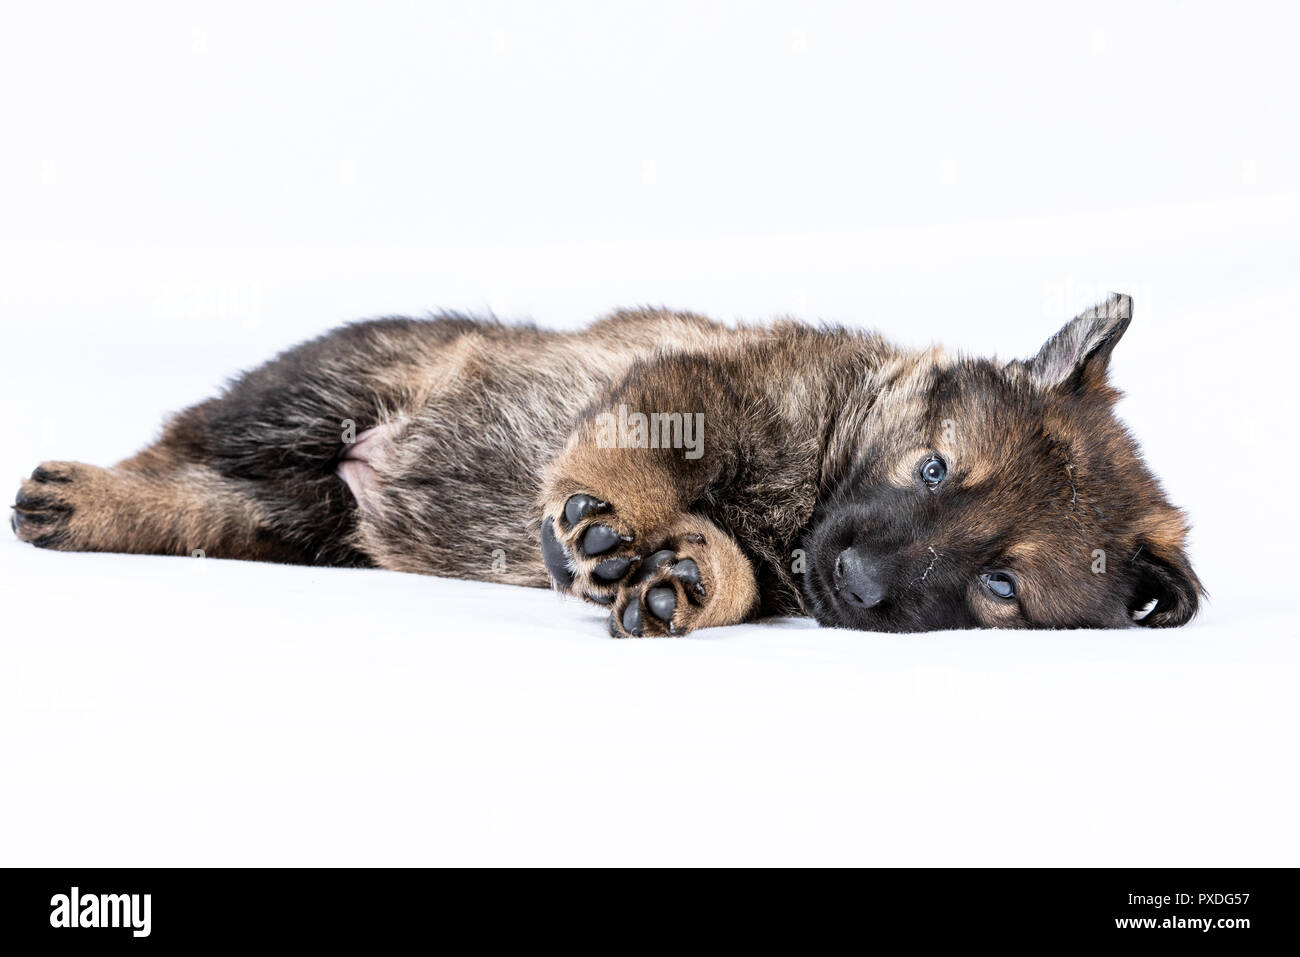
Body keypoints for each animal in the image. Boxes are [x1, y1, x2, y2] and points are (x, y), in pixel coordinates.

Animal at [10, 291, 1201, 634]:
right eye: (935, 470)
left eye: (1000, 584)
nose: (858, 584)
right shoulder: (695, 384)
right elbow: (643, 455)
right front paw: (604, 523)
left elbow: (731, 569)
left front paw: (683, 577)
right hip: (316, 398)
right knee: (184, 443)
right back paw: (78, 492)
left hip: (293, 519)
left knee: (206, 507)